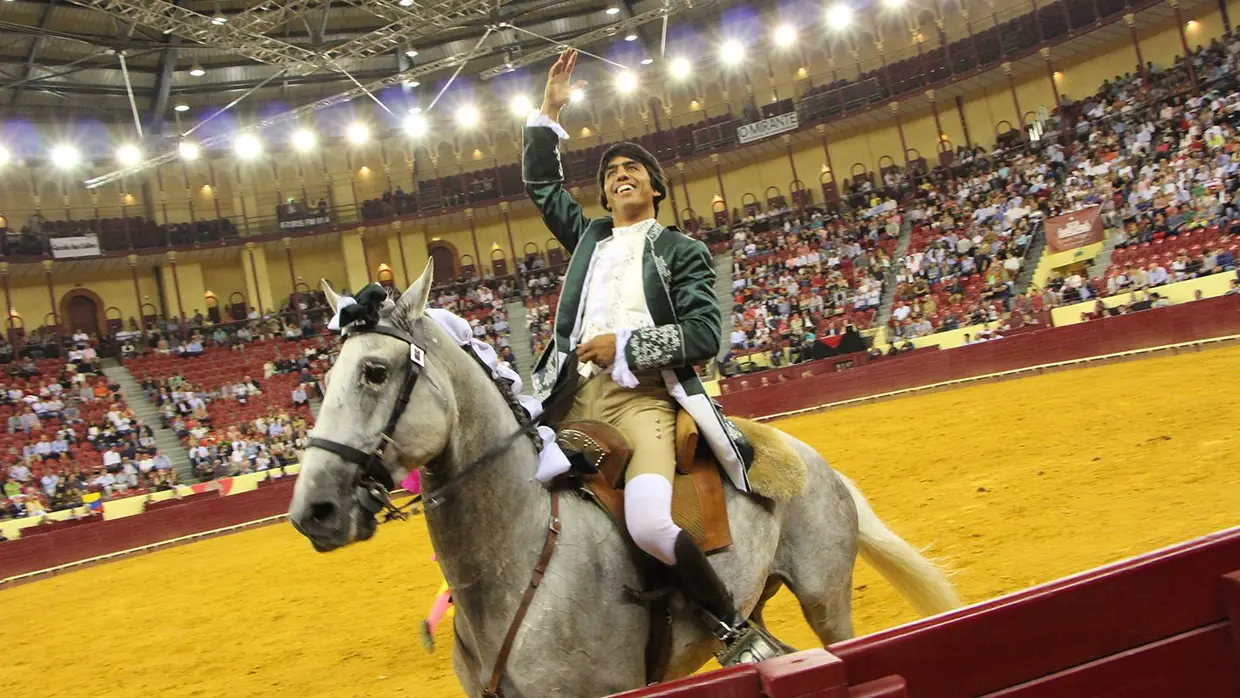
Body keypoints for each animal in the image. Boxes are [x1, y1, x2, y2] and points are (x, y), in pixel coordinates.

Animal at [287, 264, 957, 698]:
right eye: (324, 380)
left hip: (825, 595)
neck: (522, 560)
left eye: (375, 371)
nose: (313, 511)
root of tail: (805, 453)